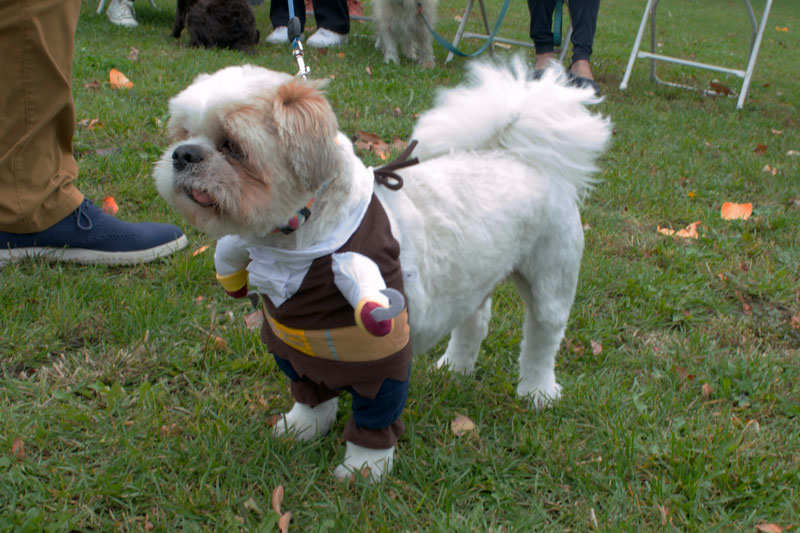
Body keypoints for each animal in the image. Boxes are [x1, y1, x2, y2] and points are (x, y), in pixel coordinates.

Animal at [152, 58, 612, 482]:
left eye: (233, 146)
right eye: (182, 134)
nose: (183, 155)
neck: (299, 249)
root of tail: (514, 154)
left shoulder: (381, 359)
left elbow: (373, 421)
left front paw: (363, 469)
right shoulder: (298, 348)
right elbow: (310, 396)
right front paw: (303, 428)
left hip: (550, 277)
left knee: (542, 337)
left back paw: (537, 391)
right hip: (473, 274)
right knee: (475, 320)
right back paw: (455, 366)